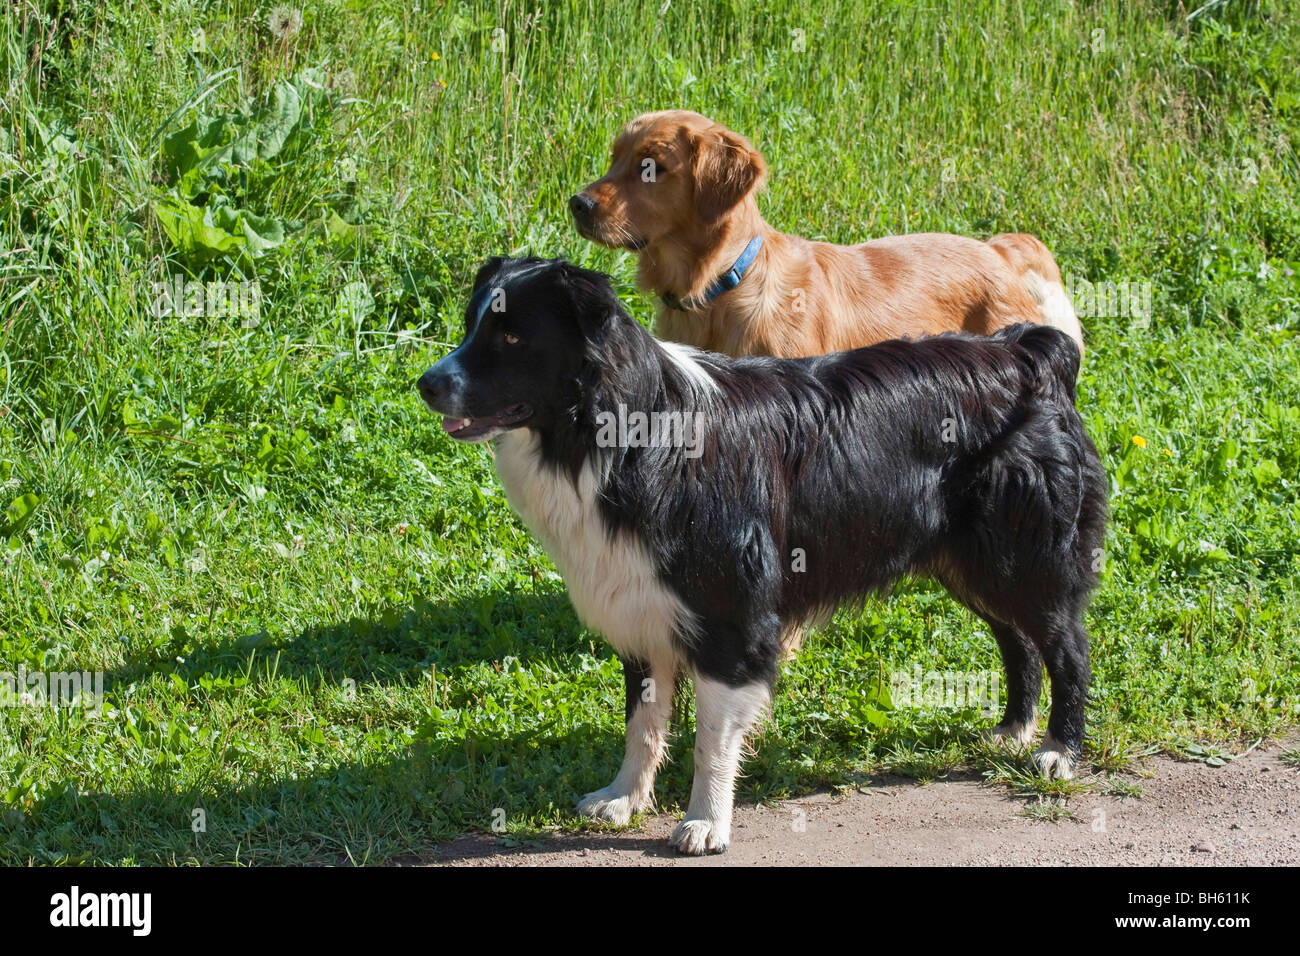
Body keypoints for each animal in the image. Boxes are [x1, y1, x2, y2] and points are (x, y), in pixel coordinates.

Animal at [418, 256, 1107, 858]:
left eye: (512, 335)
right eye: (473, 323)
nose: (425, 383)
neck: (620, 434)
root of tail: (1028, 352)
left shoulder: (731, 618)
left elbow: (711, 740)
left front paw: (704, 823)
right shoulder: (641, 607)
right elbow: (642, 722)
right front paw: (624, 798)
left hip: (1026, 553)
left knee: (1067, 644)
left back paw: (1057, 750)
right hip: (970, 561)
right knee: (1017, 640)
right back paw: (1012, 730)